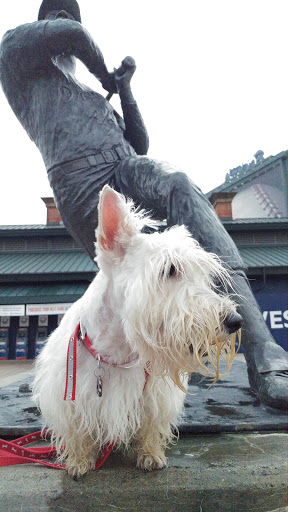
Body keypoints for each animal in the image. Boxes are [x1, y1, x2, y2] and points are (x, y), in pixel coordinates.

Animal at [32, 185, 242, 480]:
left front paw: (150, 455)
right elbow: (78, 432)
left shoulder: (154, 396)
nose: (235, 320)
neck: (118, 348)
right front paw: (79, 461)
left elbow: (151, 426)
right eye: (170, 269)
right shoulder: (68, 397)